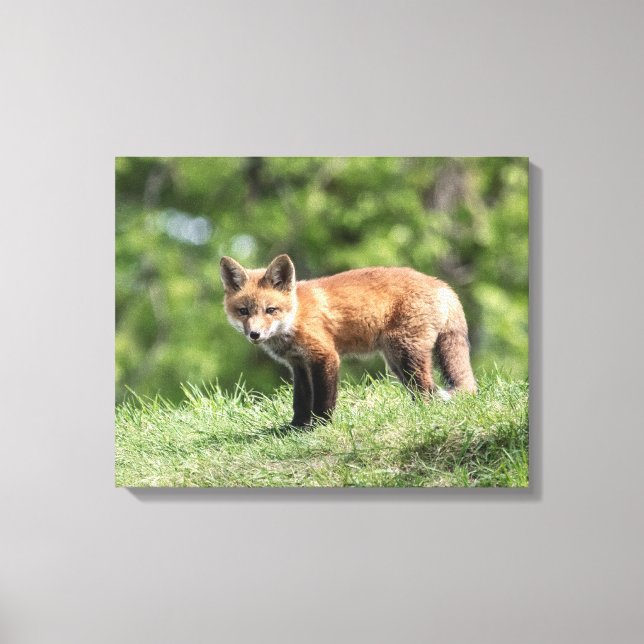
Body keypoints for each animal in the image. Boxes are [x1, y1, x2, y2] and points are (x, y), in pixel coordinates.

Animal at [220, 254, 477, 427]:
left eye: (270, 310)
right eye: (243, 311)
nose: (254, 334)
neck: (295, 316)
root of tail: (441, 284)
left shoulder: (325, 356)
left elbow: (324, 399)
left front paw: (320, 426)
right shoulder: (298, 364)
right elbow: (300, 400)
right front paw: (295, 427)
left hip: (405, 353)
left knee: (426, 390)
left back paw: (422, 414)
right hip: (396, 361)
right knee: (422, 389)